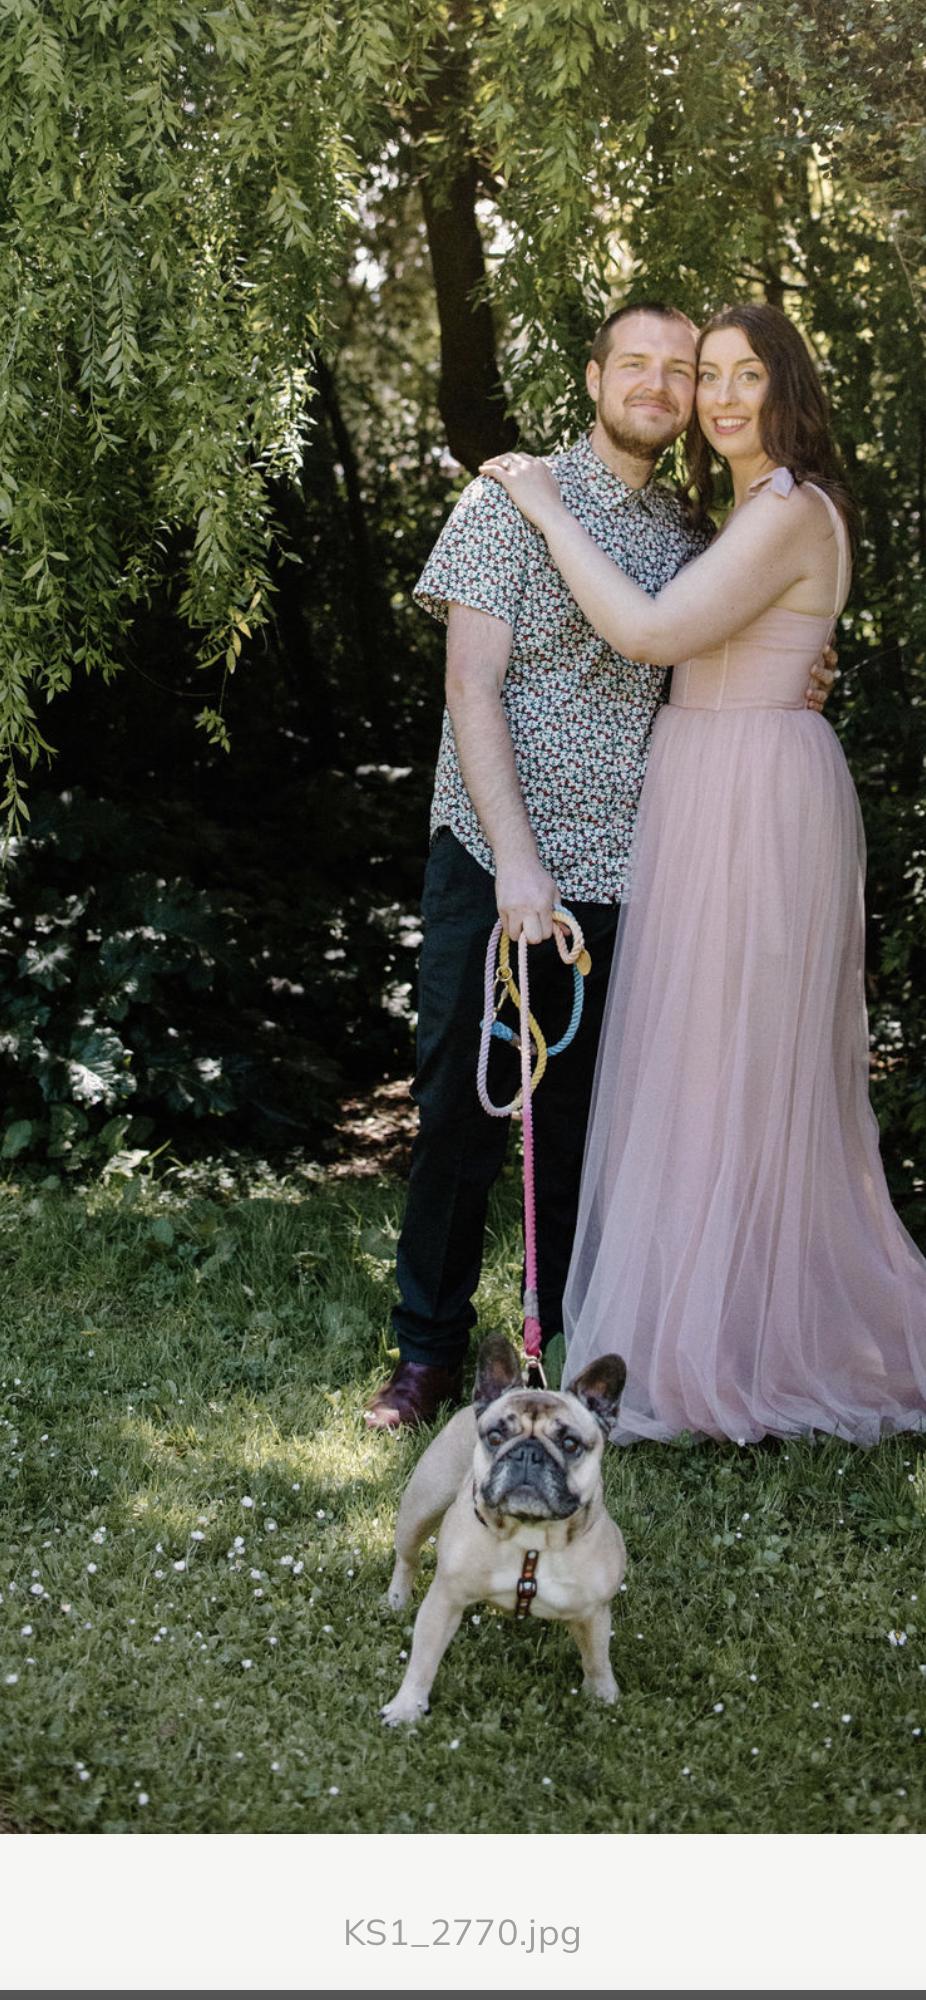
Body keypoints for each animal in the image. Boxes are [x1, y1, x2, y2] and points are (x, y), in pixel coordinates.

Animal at [381, 1333, 627, 1724]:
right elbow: (422, 1660)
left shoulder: (594, 1613)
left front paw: (604, 1698)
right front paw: (407, 1708)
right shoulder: (444, 1601)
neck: (531, 1537)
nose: (527, 1453)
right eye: (496, 1437)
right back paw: (396, 1599)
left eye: (570, 1444)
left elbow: (597, 1659)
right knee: (407, 1558)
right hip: (420, 1508)